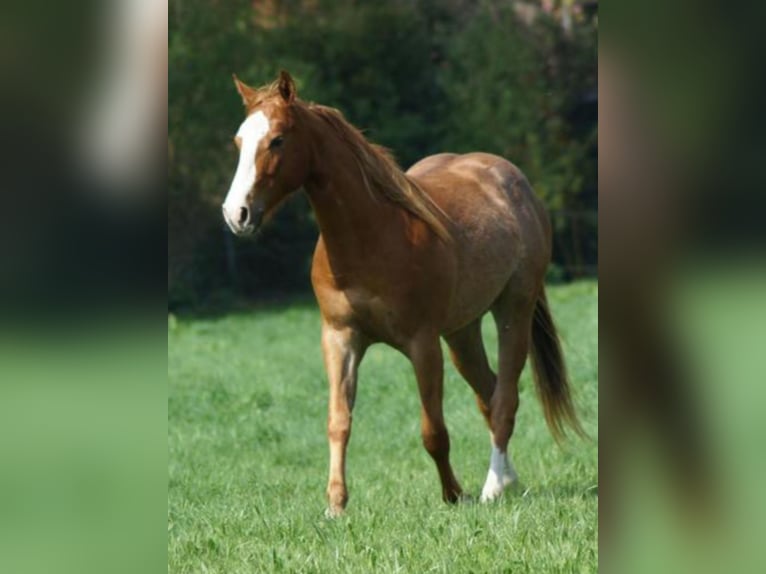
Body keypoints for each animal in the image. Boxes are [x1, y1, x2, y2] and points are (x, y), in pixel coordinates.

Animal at [222, 71, 584, 516]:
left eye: (277, 140)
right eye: (239, 141)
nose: (236, 214)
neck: (371, 236)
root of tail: (516, 184)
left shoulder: (422, 344)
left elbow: (433, 430)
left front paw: (454, 494)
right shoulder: (340, 338)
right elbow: (338, 422)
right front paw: (335, 505)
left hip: (512, 311)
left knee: (504, 400)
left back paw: (492, 487)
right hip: (462, 332)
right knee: (490, 391)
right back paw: (508, 480)